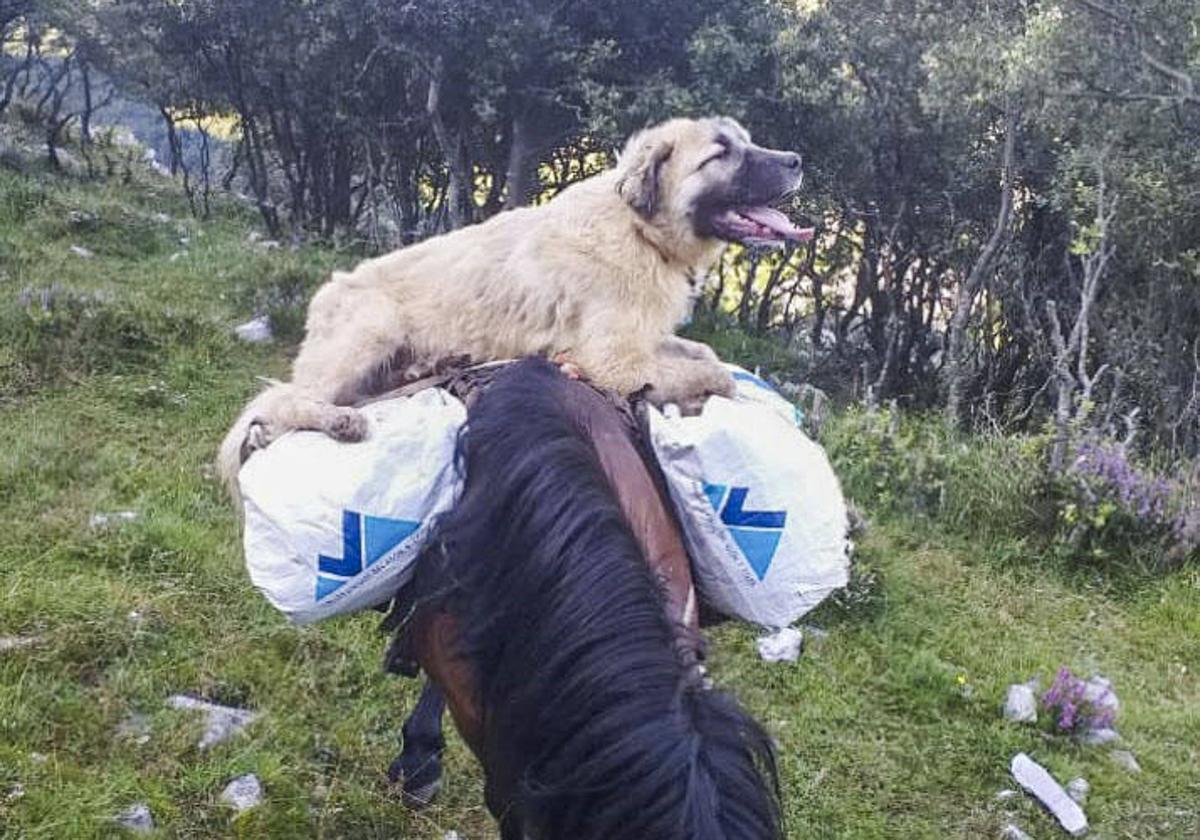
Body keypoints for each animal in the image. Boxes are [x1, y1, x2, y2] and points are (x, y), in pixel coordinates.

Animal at [219, 118, 811, 499]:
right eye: (720, 153)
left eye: (746, 141)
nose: (797, 161)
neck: (640, 231)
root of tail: (326, 294)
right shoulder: (614, 364)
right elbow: (718, 376)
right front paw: (704, 393)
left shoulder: (645, 338)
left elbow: (702, 352)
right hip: (371, 327)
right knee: (278, 402)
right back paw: (334, 421)